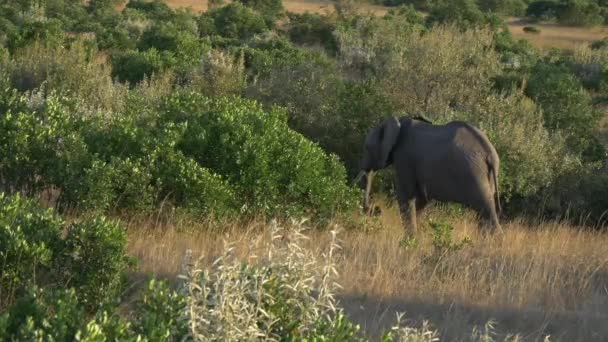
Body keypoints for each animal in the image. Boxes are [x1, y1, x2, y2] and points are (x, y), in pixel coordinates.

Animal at [358, 115, 502, 235]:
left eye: (366, 147)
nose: (375, 209)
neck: (398, 121)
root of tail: (490, 153)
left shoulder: (404, 157)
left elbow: (406, 196)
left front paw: (410, 240)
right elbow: (421, 199)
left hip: (474, 173)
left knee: (486, 210)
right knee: (482, 214)